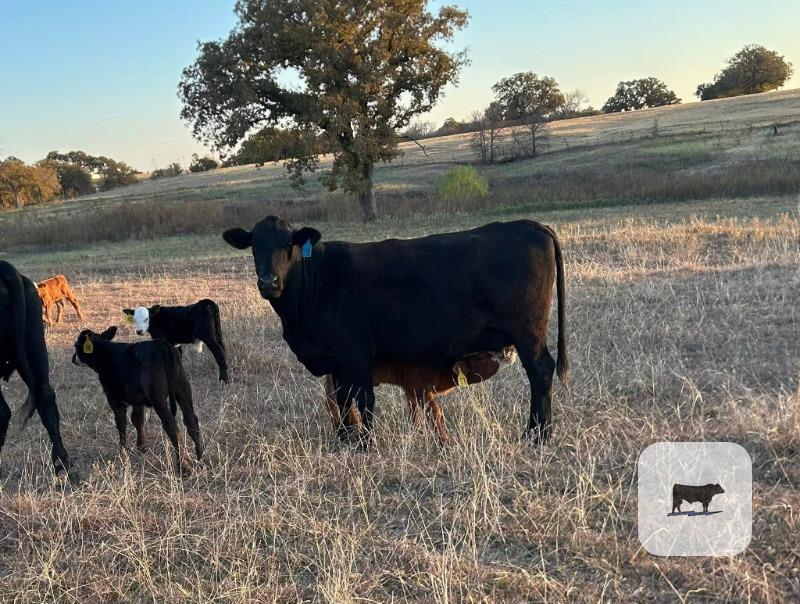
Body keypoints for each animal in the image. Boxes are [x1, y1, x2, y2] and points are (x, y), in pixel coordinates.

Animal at [71, 326, 204, 474]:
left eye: (76, 345)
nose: (73, 358)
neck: (106, 353)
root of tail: (161, 345)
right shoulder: (137, 400)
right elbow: (138, 419)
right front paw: (142, 448)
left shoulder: (114, 398)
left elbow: (121, 424)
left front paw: (123, 453)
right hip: (183, 389)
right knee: (191, 421)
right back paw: (201, 458)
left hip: (158, 398)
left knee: (172, 427)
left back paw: (182, 467)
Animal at [323, 347, 517, 444]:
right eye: (481, 356)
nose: (508, 350)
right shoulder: (421, 388)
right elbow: (435, 411)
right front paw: (445, 440)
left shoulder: (411, 389)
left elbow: (414, 411)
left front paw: (419, 433)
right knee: (334, 397)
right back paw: (345, 429)